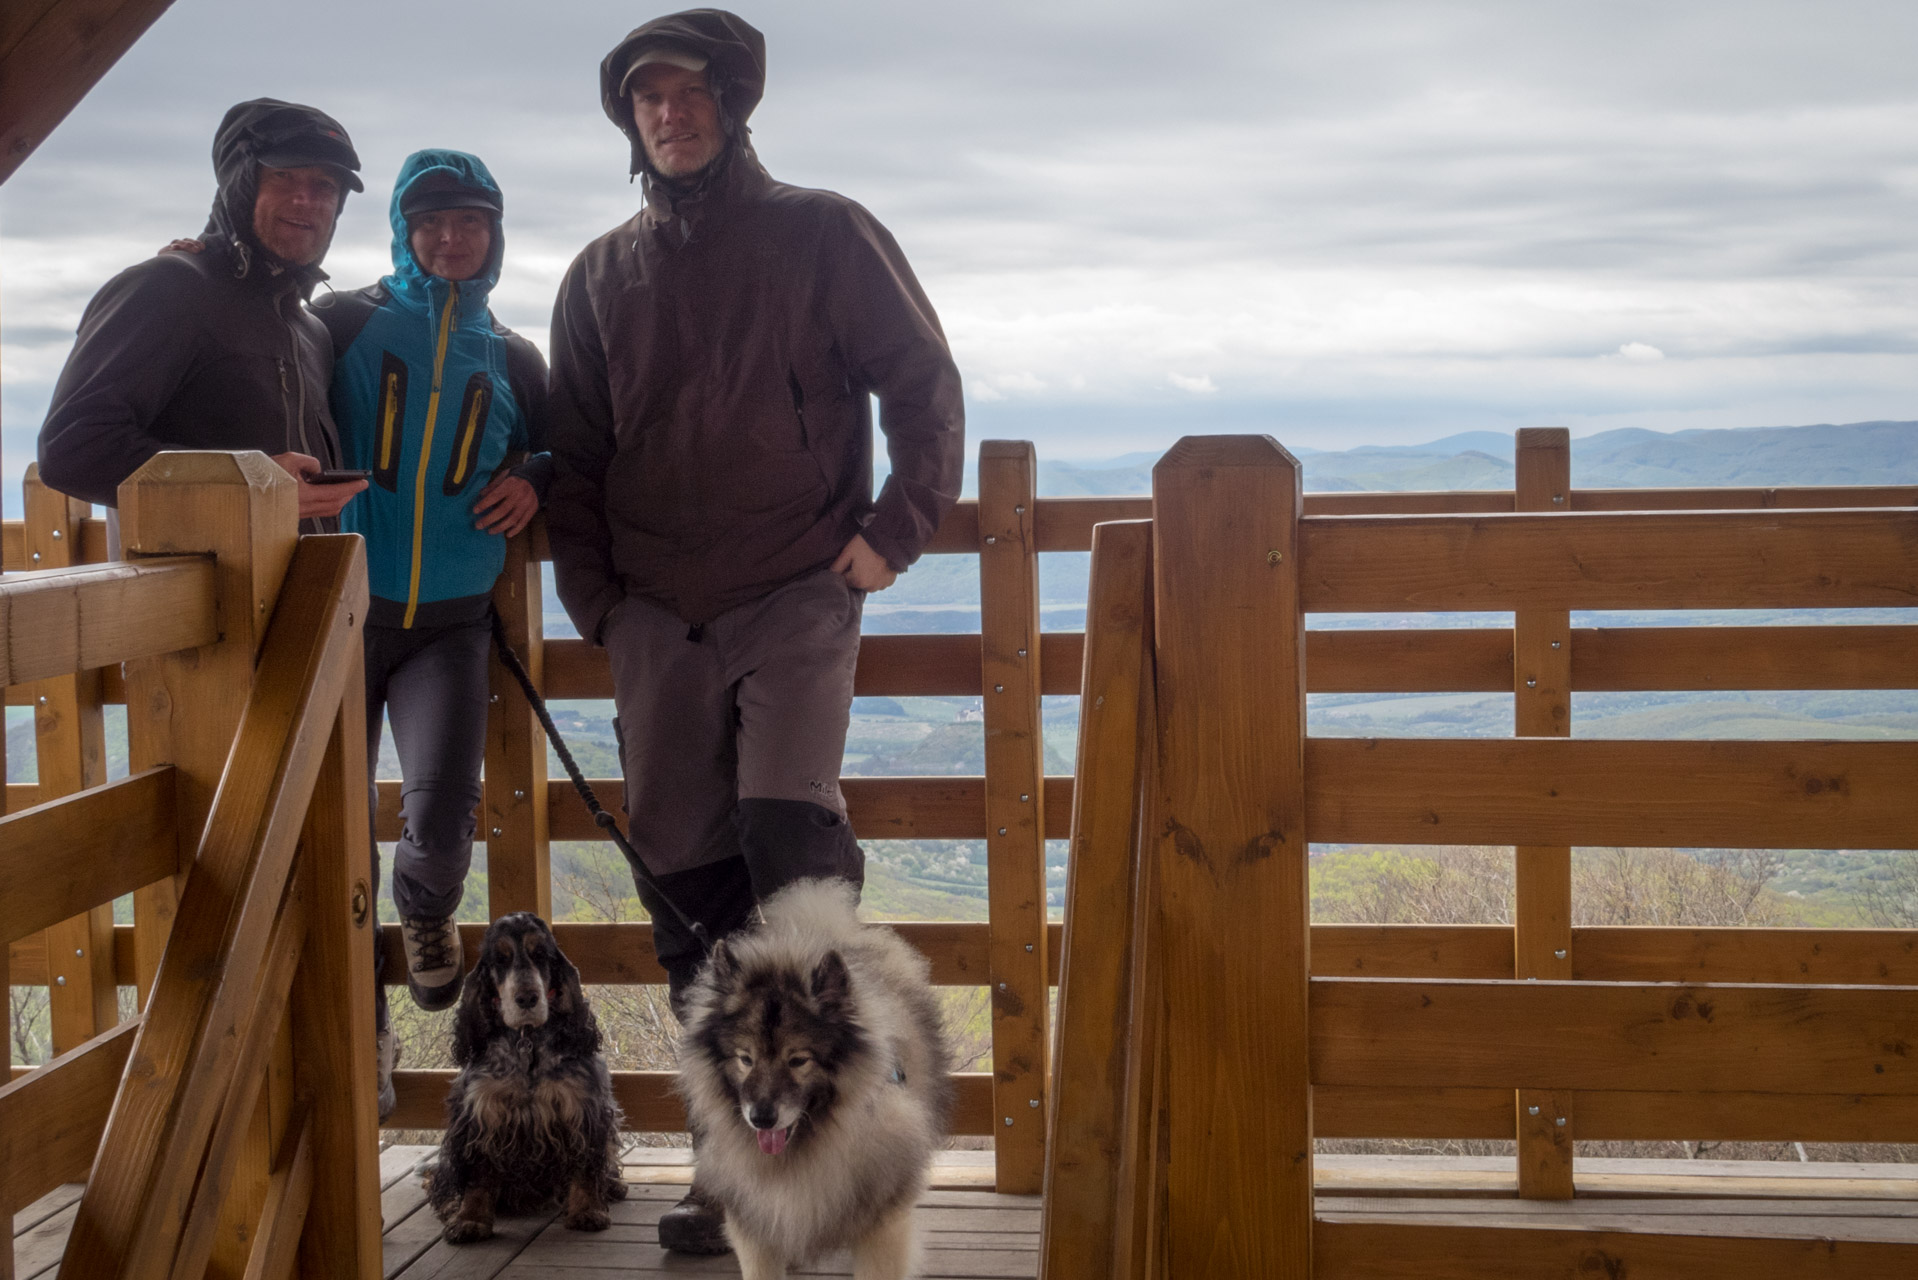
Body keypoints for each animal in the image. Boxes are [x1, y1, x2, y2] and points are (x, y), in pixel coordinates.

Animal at [678, 882, 955, 1280]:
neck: (809, 1149)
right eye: (745, 1059)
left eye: (798, 1060)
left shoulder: (882, 1227)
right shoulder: (754, 1228)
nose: (762, 1118)